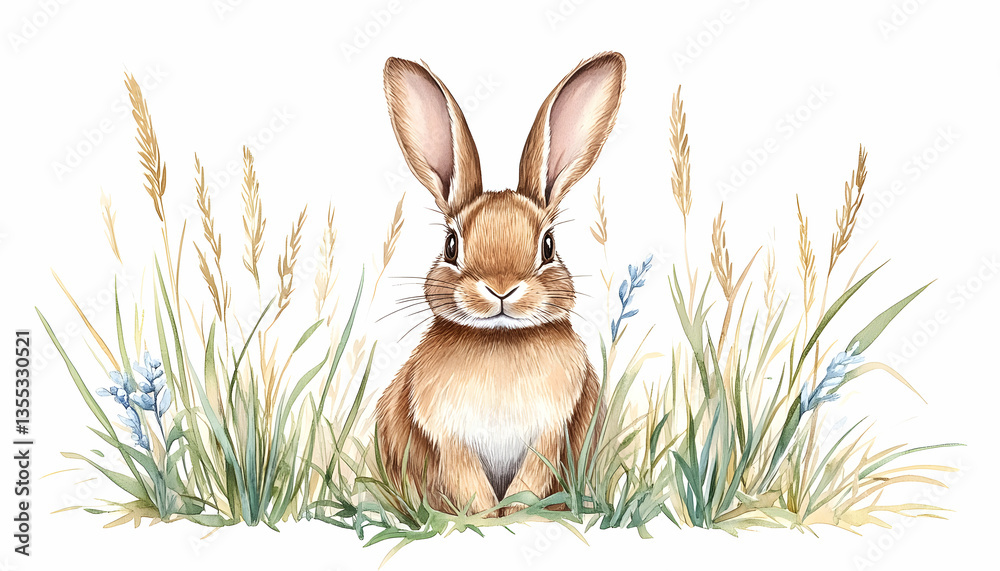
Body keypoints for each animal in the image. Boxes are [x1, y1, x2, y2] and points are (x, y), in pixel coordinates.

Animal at [375, 52, 625, 516]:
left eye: (548, 245)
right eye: (450, 245)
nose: (501, 288)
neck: (500, 340)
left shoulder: (549, 434)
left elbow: (530, 482)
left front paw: (519, 515)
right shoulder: (450, 439)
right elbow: (470, 485)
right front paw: (486, 518)